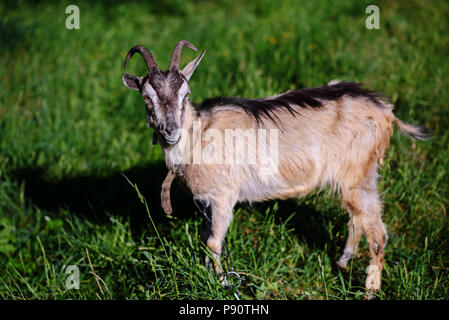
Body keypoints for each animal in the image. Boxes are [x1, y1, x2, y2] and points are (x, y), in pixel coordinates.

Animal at [121, 40, 430, 298]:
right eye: (147, 98)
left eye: (185, 95)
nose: (170, 130)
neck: (199, 134)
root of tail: (387, 112)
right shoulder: (206, 202)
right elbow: (206, 241)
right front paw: (207, 275)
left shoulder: (223, 197)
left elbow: (213, 244)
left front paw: (221, 285)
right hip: (357, 179)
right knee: (356, 218)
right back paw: (343, 261)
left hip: (359, 174)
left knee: (378, 234)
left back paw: (369, 291)